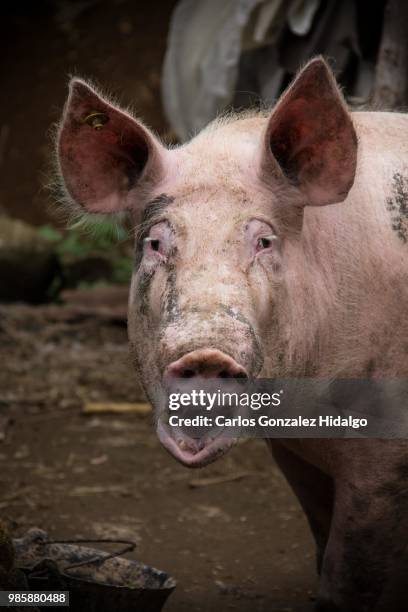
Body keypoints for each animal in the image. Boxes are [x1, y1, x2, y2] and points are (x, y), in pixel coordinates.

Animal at [55, 58, 408, 612]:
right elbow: (322, 540)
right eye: (155, 243)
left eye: (263, 241)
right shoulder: (296, 452)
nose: (206, 354)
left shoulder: (386, 455)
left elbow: (350, 577)